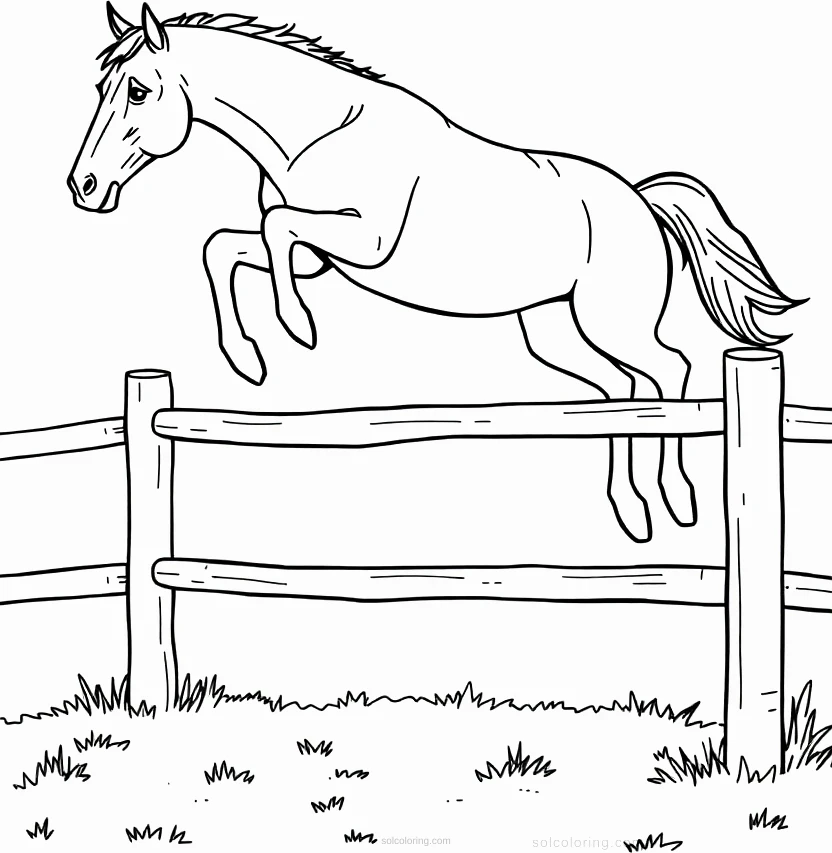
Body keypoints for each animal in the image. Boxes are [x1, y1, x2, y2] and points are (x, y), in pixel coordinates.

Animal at [68, 4, 803, 543]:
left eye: (138, 89)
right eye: (102, 87)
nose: (84, 186)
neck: (323, 136)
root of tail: (641, 201)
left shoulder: (361, 241)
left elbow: (271, 232)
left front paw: (297, 330)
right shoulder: (317, 256)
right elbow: (224, 245)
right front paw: (249, 359)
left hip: (612, 321)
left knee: (669, 371)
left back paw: (675, 499)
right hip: (553, 333)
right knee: (625, 390)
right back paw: (633, 507)